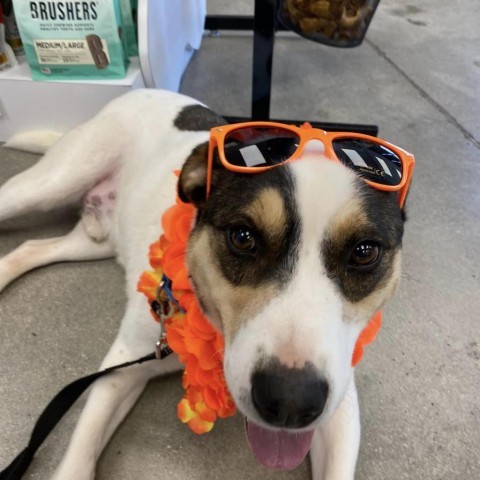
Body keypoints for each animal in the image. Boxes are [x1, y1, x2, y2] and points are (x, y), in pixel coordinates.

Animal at [0, 88, 408, 478]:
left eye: (364, 252)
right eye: (243, 237)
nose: (290, 402)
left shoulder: (341, 404)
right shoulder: (121, 366)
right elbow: (78, 460)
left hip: (96, 240)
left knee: (33, 247)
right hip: (54, 181)